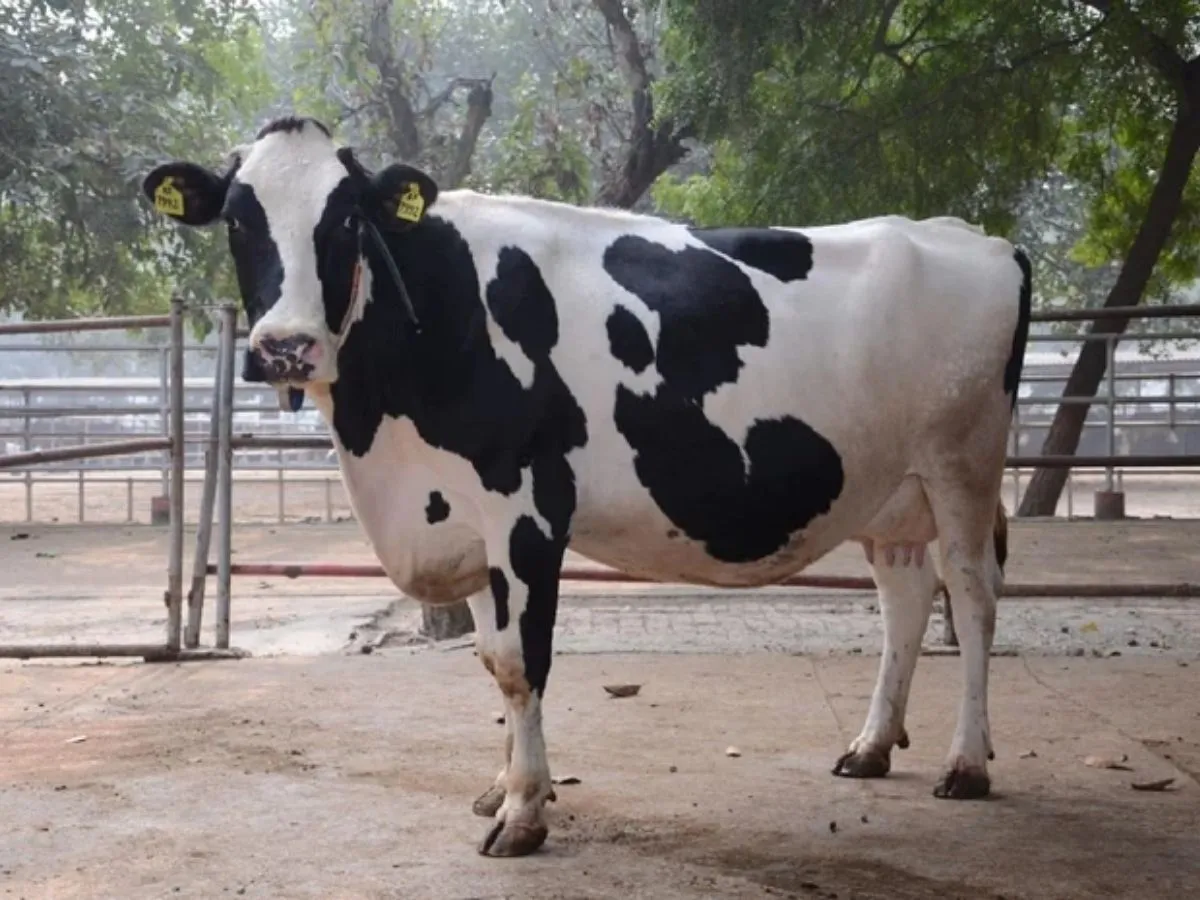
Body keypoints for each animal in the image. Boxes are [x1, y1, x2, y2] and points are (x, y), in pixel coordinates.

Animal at [142, 116, 1032, 858]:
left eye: (346, 221)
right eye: (238, 221)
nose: (285, 347)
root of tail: (973, 239)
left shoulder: (527, 508)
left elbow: (519, 662)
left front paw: (524, 813)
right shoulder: (465, 520)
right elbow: (489, 658)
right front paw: (501, 787)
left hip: (963, 464)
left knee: (972, 596)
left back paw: (967, 763)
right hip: (889, 488)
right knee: (906, 601)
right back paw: (871, 746)